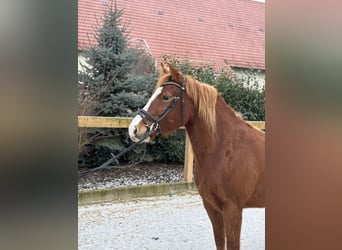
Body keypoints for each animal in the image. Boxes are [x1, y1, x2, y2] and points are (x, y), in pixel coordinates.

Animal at [128, 63, 264, 249]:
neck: (223, 150)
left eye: (165, 97)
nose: (134, 129)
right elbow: (219, 242)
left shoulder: (233, 210)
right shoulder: (211, 207)